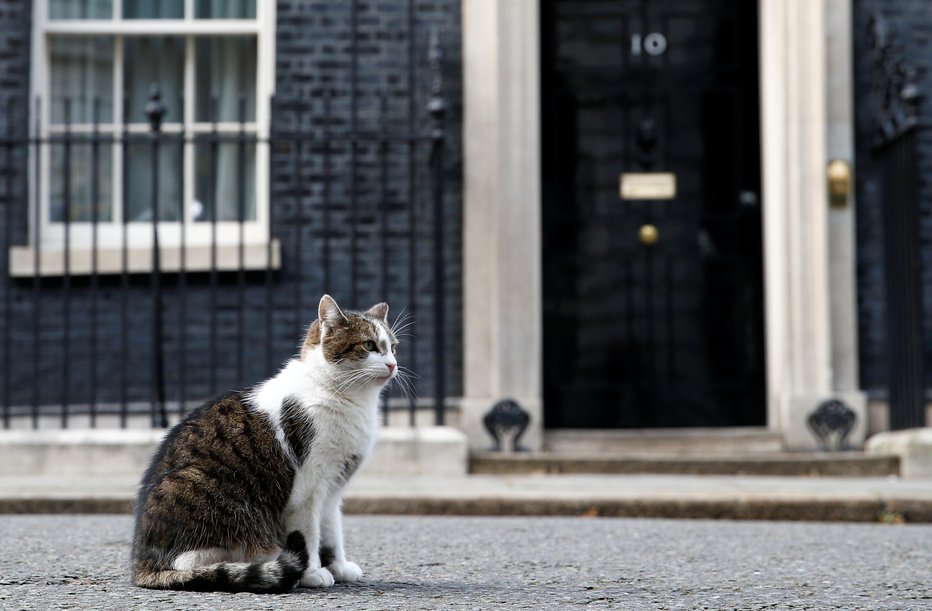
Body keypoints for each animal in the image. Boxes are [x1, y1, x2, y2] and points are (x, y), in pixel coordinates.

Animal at [130, 296, 396, 592]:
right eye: (369, 345)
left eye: (393, 347)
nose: (393, 365)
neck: (350, 399)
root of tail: (142, 562)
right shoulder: (308, 491)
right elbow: (310, 534)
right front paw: (313, 572)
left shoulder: (333, 488)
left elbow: (332, 532)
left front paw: (338, 567)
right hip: (203, 488)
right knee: (188, 564)